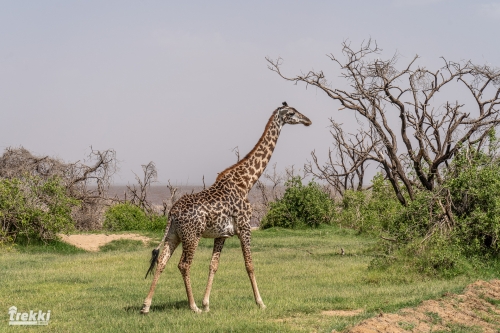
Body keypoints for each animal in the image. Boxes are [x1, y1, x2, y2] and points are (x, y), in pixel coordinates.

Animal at [141, 101, 310, 312]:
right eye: (292, 113)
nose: (308, 120)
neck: (246, 182)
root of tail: (172, 212)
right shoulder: (245, 227)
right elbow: (249, 264)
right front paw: (260, 302)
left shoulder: (221, 234)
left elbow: (213, 265)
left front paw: (206, 303)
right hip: (192, 236)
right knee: (184, 265)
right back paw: (192, 306)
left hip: (174, 235)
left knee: (162, 262)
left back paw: (146, 305)